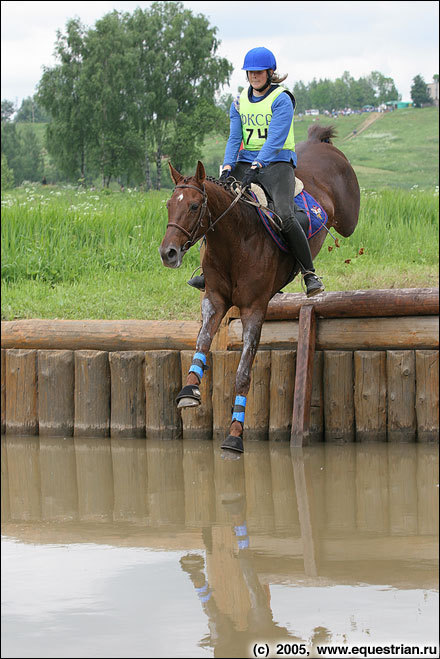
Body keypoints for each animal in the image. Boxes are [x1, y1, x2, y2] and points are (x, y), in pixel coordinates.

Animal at [160, 124, 360, 454]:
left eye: (193, 205)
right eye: (168, 205)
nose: (168, 253)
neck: (234, 240)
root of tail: (319, 143)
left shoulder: (253, 308)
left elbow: (243, 372)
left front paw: (235, 434)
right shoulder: (214, 299)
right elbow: (202, 343)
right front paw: (189, 389)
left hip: (348, 218)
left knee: (348, 224)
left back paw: (313, 280)